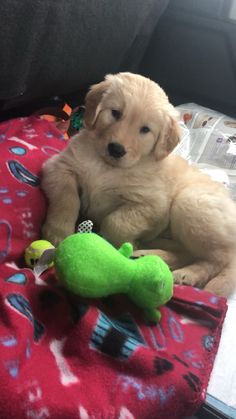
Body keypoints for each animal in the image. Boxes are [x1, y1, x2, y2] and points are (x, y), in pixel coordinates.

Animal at [41, 73, 236, 298]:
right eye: (115, 113)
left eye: (145, 130)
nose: (116, 149)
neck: (107, 167)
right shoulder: (59, 168)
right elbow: (67, 199)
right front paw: (58, 233)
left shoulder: (152, 205)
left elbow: (116, 222)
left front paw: (118, 247)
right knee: (186, 252)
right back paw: (147, 255)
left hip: (190, 203)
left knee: (219, 259)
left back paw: (188, 274)